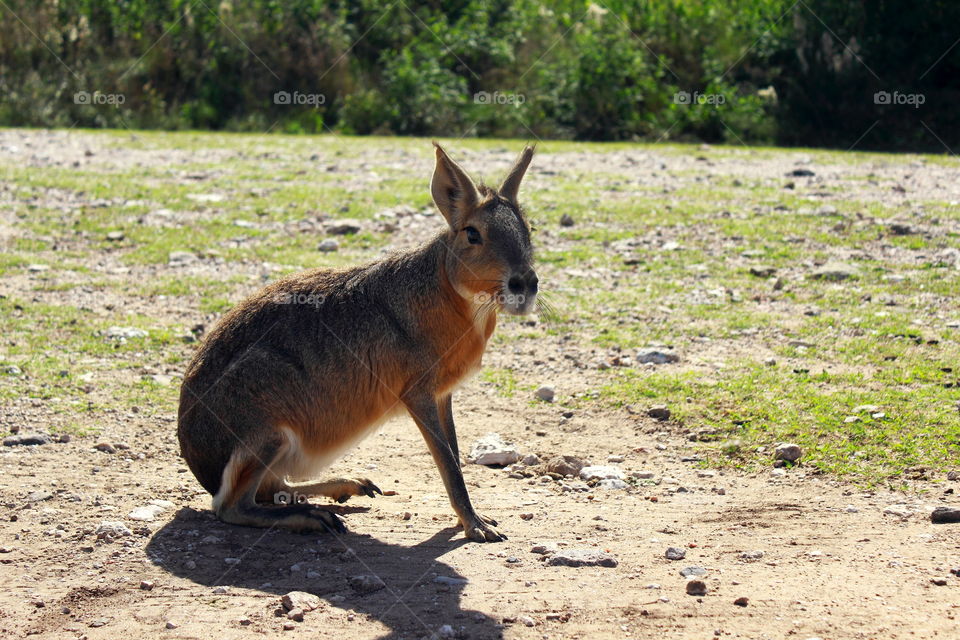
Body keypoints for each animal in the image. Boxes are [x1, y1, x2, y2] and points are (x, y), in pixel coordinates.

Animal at [177, 143, 538, 542]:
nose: (525, 284)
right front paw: (476, 525)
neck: (452, 298)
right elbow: (448, 463)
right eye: (472, 233)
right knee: (233, 506)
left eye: (528, 229)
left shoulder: (444, 395)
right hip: (268, 431)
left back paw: (346, 486)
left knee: (272, 489)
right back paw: (313, 517)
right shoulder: (418, 393)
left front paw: (472, 520)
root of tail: (200, 464)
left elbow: (455, 455)